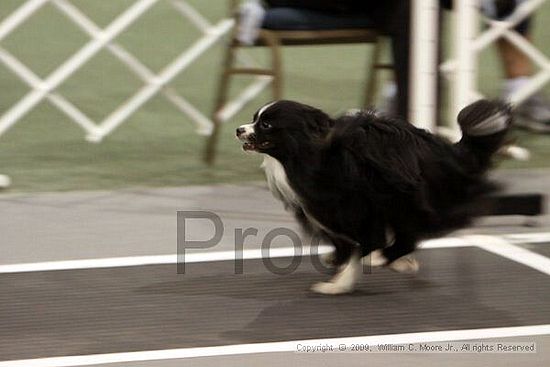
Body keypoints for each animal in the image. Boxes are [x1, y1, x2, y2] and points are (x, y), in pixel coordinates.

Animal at [237, 100, 512, 296]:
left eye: (266, 125)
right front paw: (337, 263)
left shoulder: (359, 212)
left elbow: (363, 246)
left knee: (408, 236)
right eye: (254, 119)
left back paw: (384, 258)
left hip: (405, 200)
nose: (239, 129)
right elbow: (344, 246)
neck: (312, 155)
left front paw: (339, 284)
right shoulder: (330, 214)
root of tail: (449, 152)